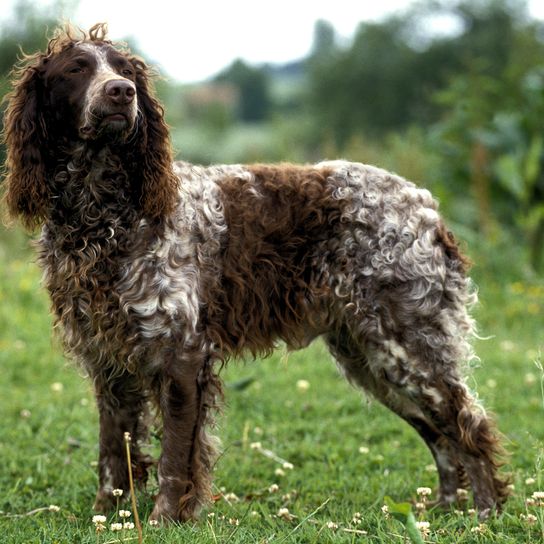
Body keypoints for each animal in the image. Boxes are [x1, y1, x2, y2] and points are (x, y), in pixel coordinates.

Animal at [1, 23, 510, 520]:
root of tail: (426, 207)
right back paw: (442, 511)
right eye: (76, 69)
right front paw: (106, 516)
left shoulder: (182, 355)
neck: (105, 216)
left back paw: (485, 513)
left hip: (407, 349)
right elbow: (113, 453)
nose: (121, 92)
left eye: (126, 71)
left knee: (469, 425)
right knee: (440, 435)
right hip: (372, 357)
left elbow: (174, 461)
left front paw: (165, 520)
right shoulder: (107, 362)